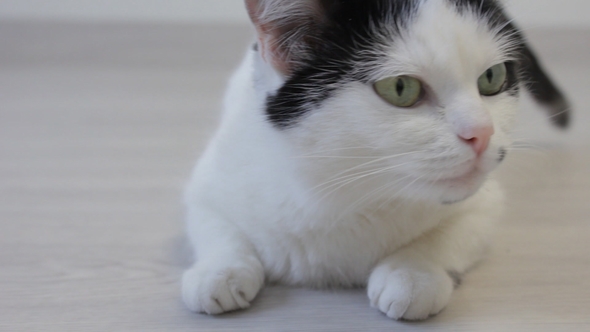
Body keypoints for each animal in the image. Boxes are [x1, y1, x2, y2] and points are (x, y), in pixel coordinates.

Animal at [183, 0, 572, 322]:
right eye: (401, 88)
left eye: (492, 78)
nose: (481, 133)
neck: (348, 195)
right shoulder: (208, 182)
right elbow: (216, 224)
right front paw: (218, 272)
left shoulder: (484, 202)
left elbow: (450, 232)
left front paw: (413, 273)